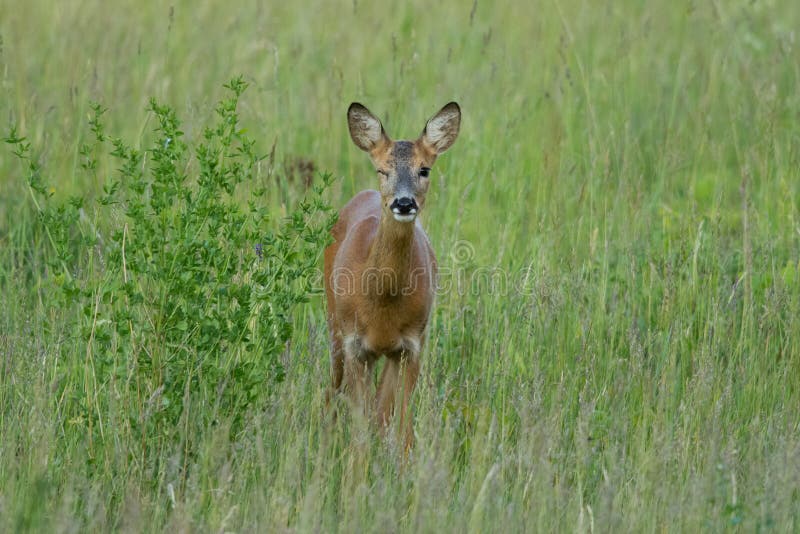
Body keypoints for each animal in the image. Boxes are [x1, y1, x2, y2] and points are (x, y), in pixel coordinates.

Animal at [324, 100, 462, 448]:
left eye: (424, 169)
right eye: (382, 170)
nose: (403, 202)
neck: (382, 303)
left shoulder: (411, 345)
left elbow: (400, 427)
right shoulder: (355, 344)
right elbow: (361, 429)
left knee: (381, 413)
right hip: (334, 326)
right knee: (333, 393)